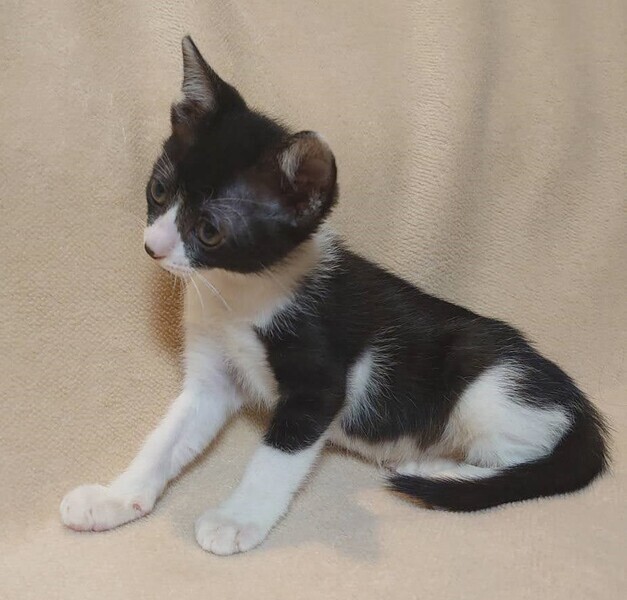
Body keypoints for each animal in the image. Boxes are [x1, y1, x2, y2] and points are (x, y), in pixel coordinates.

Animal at [60, 36, 608, 555]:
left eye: (210, 231)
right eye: (158, 191)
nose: (152, 247)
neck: (242, 295)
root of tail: (580, 406)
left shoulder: (320, 381)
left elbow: (275, 456)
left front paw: (237, 519)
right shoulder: (212, 377)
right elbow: (167, 436)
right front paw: (115, 497)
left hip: (491, 389)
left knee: (523, 455)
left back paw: (439, 471)